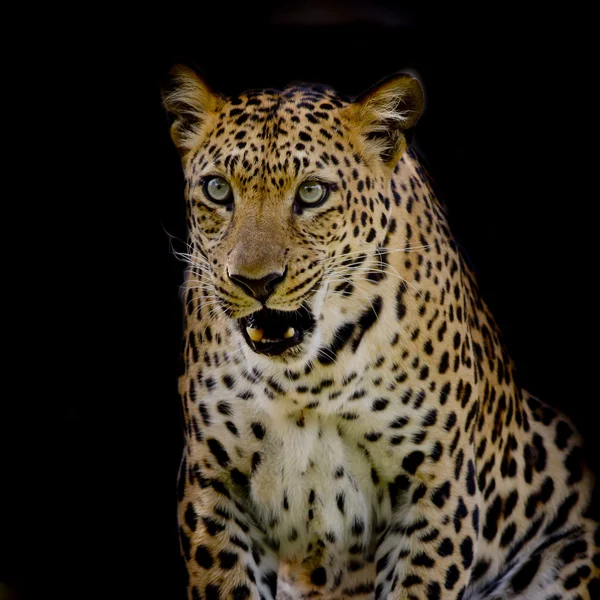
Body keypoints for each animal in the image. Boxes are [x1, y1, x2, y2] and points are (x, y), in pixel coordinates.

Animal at [162, 65, 596, 600]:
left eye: (312, 193)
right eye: (218, 189)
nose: (255, 282)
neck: (307, 380)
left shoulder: (436, 487)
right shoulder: (214, 483)